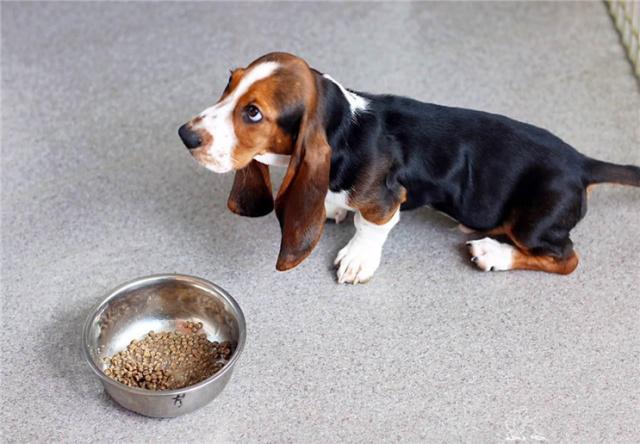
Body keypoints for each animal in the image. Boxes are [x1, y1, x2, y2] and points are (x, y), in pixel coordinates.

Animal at [178, 52, 639, 284]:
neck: (345, 124)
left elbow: (371, 226)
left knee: (566, 259)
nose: (185, 135)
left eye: (253, 113)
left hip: (534, 224)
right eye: (229, 82)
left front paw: (357, 258)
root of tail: (582, 163)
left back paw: (494, 253)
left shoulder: (385, 200)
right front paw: (331, 207)